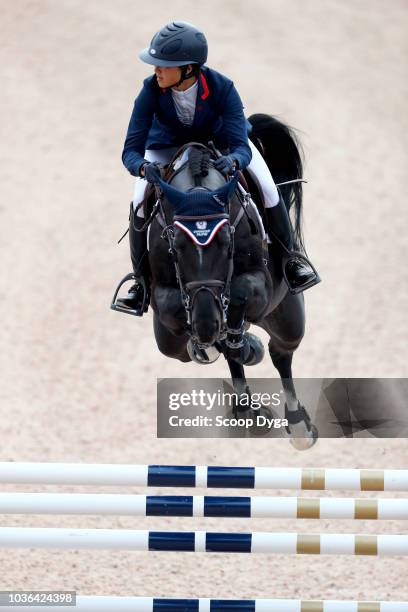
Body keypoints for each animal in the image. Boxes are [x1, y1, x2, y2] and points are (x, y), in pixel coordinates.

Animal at [113, 116, 318, 450]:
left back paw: (297, 424)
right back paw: (247, 408)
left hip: (287, 314)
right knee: (216, 350)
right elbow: (187, 321)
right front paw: (210, 343)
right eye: (174, 245)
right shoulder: (166, 298)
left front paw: (242, 342)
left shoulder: (258, 284)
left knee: (281, 351)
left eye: (227, 242)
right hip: (170, 340)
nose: (206, 321)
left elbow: (240, 296)